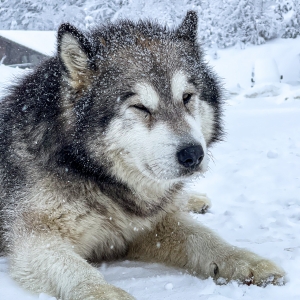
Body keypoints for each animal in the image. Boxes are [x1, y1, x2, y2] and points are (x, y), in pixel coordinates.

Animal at [0, 11, 284, 300]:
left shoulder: (148, 228)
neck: (97, 177)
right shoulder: (36, 239)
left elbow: (206, 239)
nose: (193, 154)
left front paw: (247, 261)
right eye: (140, 107)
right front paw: (106, 294)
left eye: (187, 97)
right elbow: (77, 270)